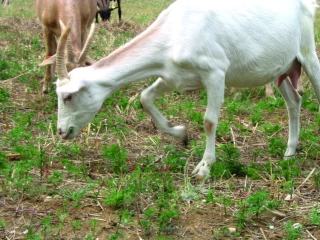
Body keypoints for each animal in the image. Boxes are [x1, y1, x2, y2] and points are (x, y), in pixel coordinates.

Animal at [54, 0, 320, 177]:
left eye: (68, 96)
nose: (61, 131)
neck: (175, 31)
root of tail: (307, 4)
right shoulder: (173, 76)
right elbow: (145, 98)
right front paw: (181, 134)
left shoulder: (216, 72)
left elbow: (209, 121)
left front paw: (204, 167)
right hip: (281, 68)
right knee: (294, 101)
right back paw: (289, 152)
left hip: (307, 52)